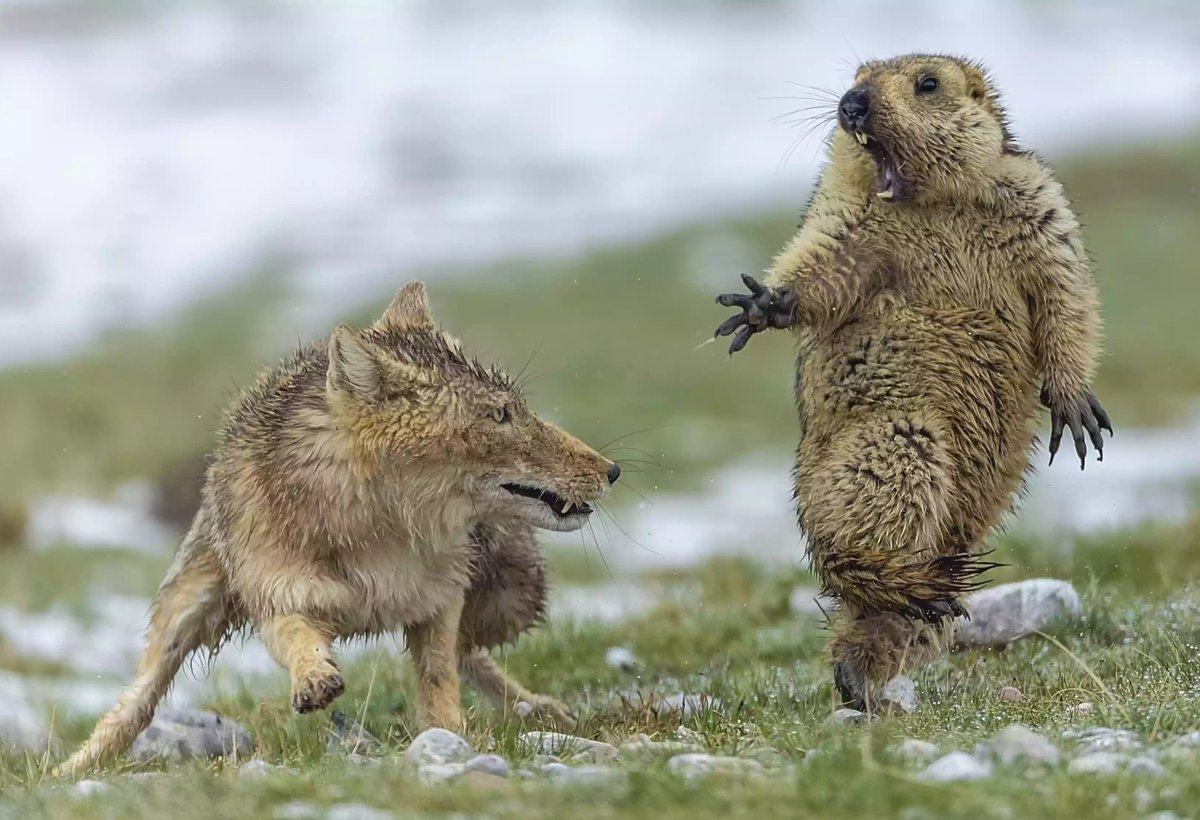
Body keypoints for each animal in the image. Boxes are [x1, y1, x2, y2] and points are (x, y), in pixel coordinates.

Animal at [56, 281, 620, 775]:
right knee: (137, 700)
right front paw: (314, 678)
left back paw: (538, 708)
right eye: (500, 415)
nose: (613, 470)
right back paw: (69, 768)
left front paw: (450, 737)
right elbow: (296, 638)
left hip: (512, 597)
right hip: (185, 609)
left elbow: (439, 678)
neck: (378, 534)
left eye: (517, 409)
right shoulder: (280, 597)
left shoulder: (438, 599)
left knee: (473, 654)